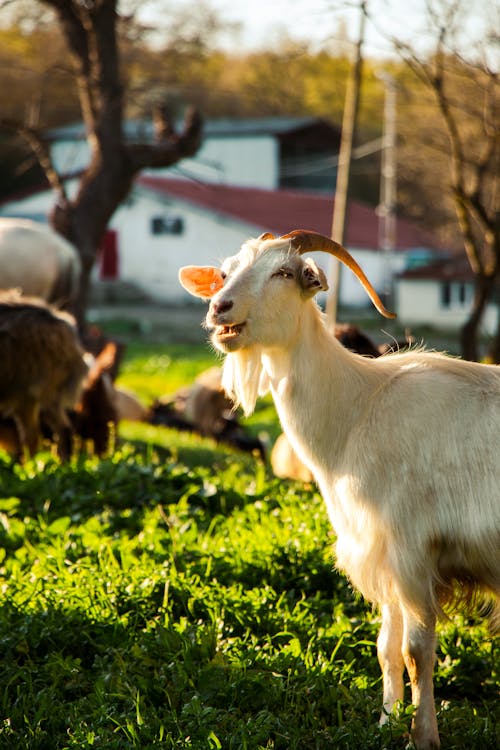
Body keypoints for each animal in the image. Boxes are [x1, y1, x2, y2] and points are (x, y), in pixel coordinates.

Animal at [180, 229, 500, 750]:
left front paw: (422, 737)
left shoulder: (413, 552)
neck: (358, 409)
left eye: (284, 272)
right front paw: (387, 724)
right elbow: (387, 649)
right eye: (224, 272)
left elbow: (417, 652)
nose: (219, 308)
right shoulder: (381, 554)